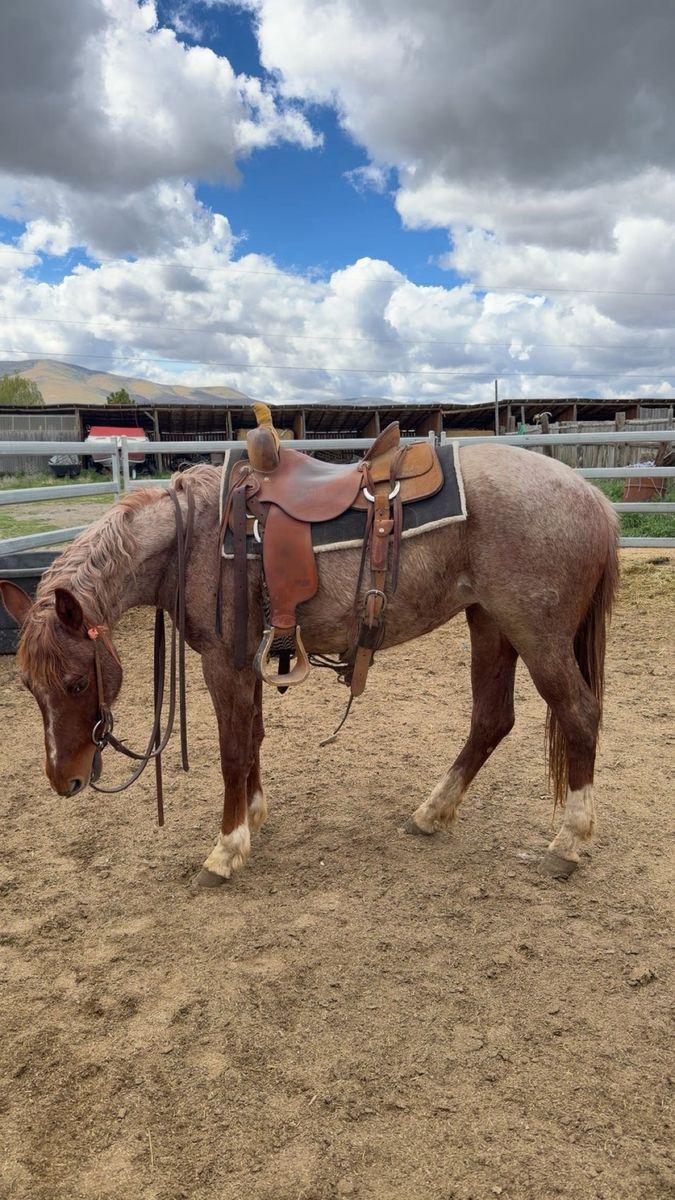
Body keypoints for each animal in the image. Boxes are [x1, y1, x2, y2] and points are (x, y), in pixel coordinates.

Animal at [0, 442, 619, 888]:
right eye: (28, 686)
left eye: (76, 681)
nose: (64, 780)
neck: (193, 540)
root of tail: (594, 498)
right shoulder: (247, 662)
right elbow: (252, 738)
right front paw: (253, 819)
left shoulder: (223, 664)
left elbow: (232, 751)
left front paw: (225, 850)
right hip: (489, 623)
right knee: (491, 719)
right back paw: (431, 812)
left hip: (537, 634)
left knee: (579, 714)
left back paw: (569, 843)